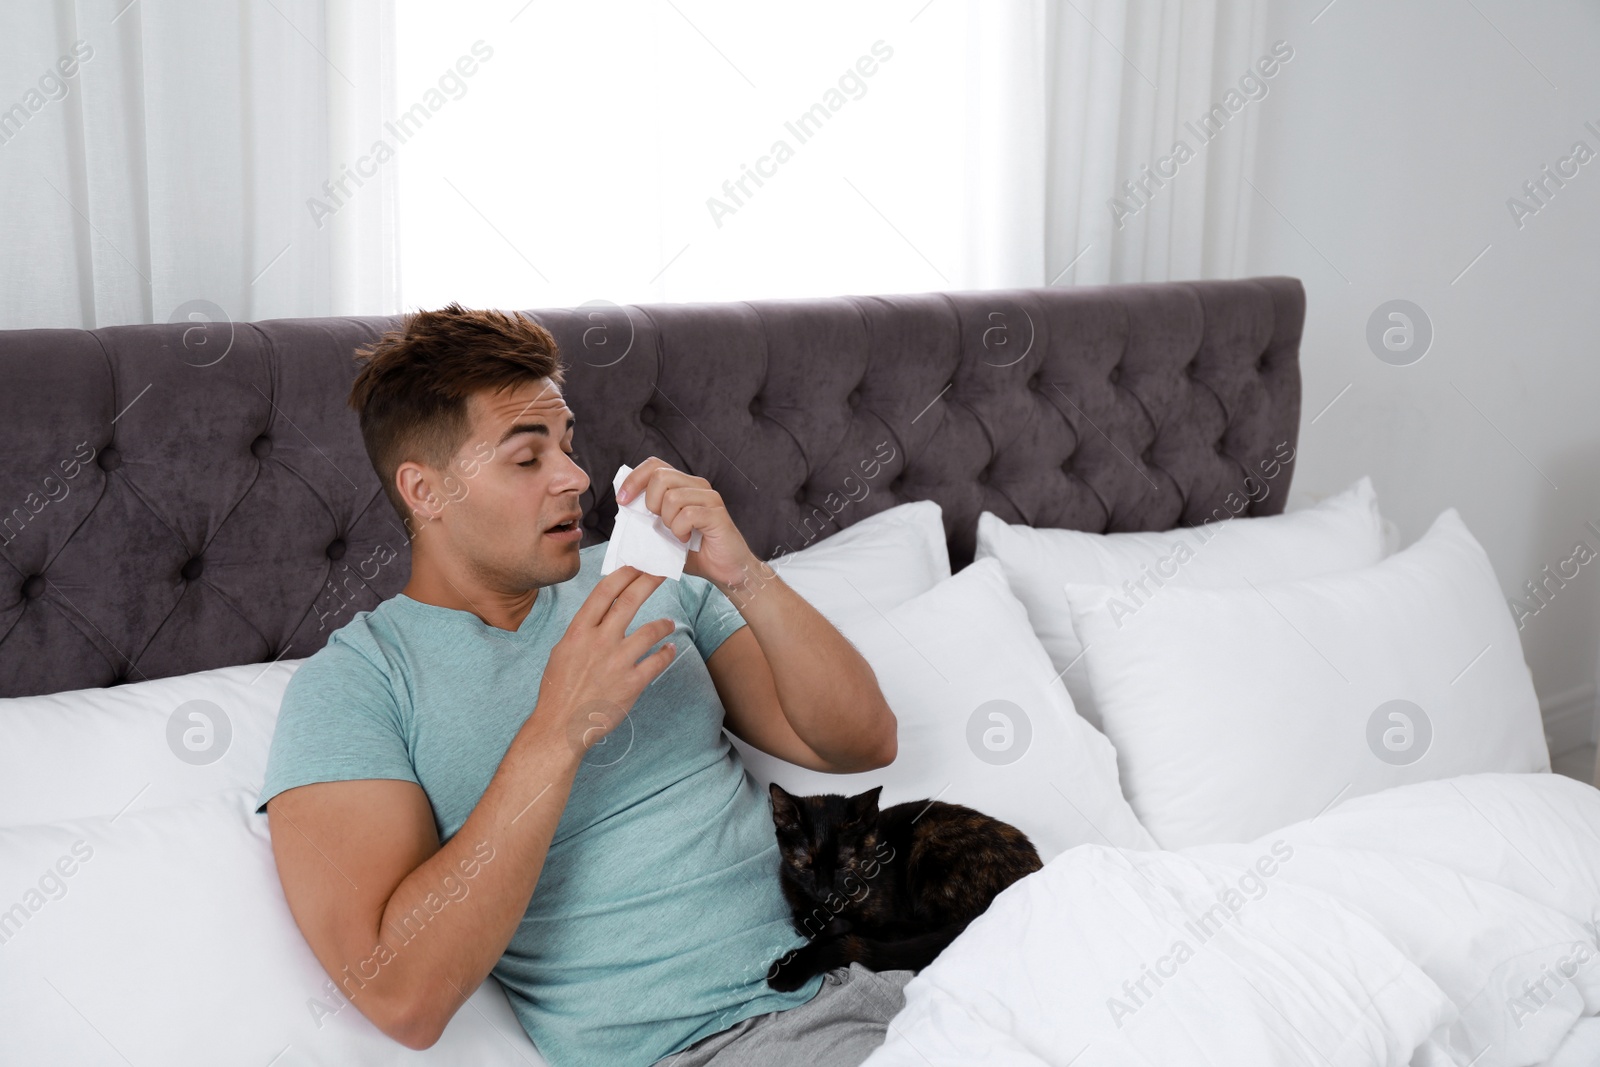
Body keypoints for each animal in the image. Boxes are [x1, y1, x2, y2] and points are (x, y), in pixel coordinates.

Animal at [764, 777, 1043, 991]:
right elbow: (802, 919)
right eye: (806, 864)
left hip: (931, 843)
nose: (824, 891)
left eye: (843, 864)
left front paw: (790, 968)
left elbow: (830, 930)